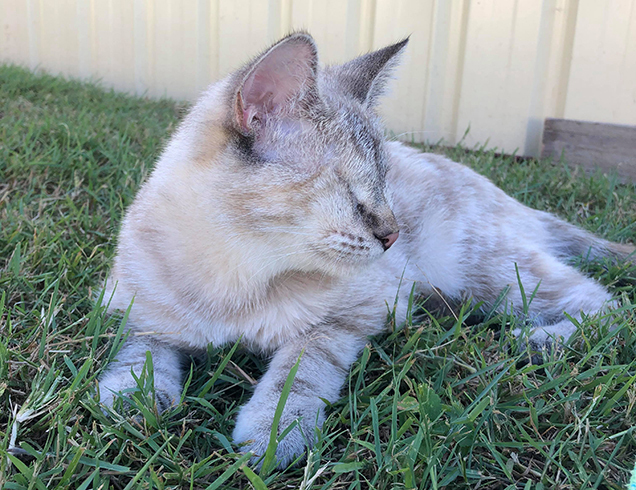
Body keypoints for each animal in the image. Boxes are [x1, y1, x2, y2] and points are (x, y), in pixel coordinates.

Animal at [98, 30, 632, 468]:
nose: (393, 235)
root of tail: (504, 194)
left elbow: (299, 371)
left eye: (385, 183)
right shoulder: (132, 309)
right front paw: (133, 399)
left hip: (491, 275)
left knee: (605, 305)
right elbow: (141, 351)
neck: (238, 278)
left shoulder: (349, 320)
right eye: (355, 193)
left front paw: (273, 433)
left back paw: (536, 341)